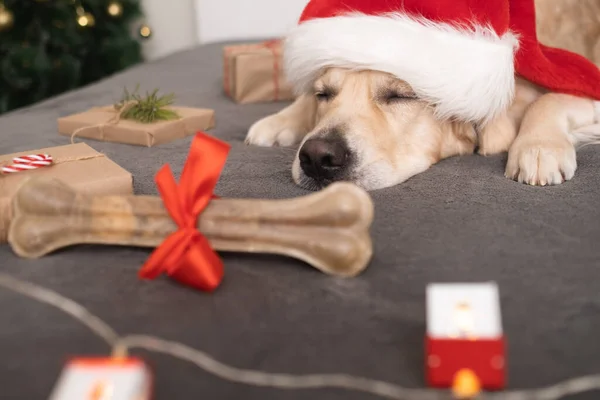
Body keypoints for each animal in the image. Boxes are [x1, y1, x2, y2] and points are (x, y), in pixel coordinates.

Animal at [244, 0, 600, 191]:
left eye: (399, 96)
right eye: (324, 93)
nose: (318, 157)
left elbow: (547, 99)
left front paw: (539, 148)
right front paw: (279, 121)